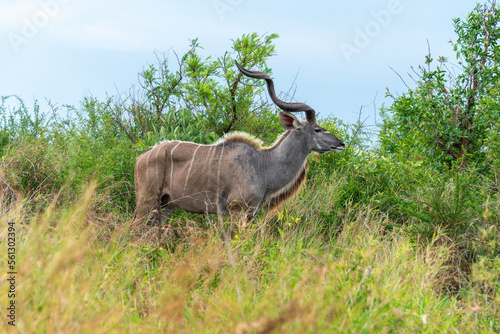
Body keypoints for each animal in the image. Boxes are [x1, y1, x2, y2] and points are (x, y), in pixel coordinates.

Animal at [133, 61, 344, 226]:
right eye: (317, 129)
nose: (341, 143)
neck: (263, 164)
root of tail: (141, 157)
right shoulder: (237, 210)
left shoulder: (249, 214)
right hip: (146, 201)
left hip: (166, 205)